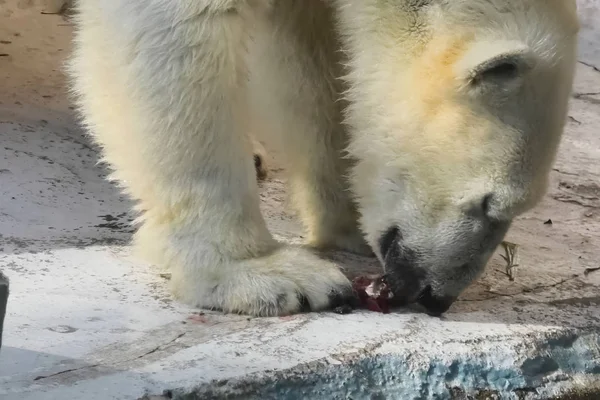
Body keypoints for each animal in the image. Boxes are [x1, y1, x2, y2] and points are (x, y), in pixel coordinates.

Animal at [68, 1, 580, 318]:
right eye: (491, 204)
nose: (437, 296)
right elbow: (176, 33)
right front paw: (265, 275)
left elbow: (308, 68)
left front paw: (346, 222)